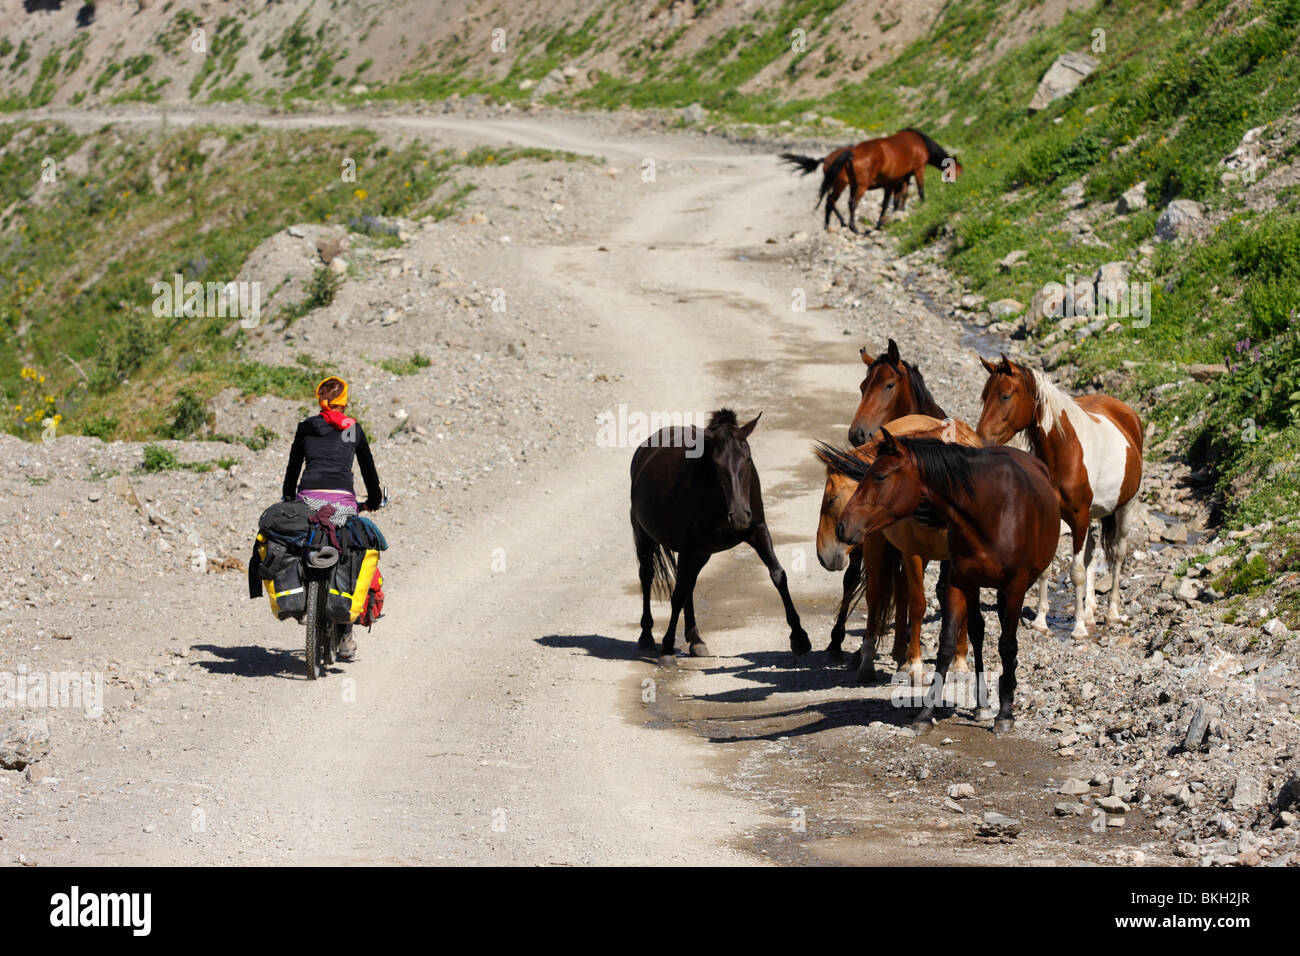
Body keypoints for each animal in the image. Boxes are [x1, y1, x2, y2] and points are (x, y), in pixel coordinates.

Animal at [630, 409, 811, 666]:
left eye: (748, 459)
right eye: (716, 464)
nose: (739, 516)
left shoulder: (757, 530)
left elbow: (778, 575)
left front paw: (799, 637)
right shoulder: (688, 545)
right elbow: (677, 594)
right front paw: (667, 649)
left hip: (701, 553)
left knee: (689, 585)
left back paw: (695, 639)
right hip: (646, 536)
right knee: (648, 576)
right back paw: (646, 635)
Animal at [780, 129, 962, 233]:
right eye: (957, 171)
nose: (955, 185)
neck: (919, 142)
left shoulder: (900, 179)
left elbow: (897, 199)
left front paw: (895, 215)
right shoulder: (916, 170)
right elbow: (916, 191)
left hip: (849, 184)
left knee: (832, 201)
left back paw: (831, 225)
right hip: (851, 185)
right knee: (846, 202)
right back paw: (852, 227)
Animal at [816, 414, 981, 684]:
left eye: (830, 500)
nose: (822, 555)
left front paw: (960, 663)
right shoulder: (912, 550)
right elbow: (917, 603)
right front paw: (914, 665)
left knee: (900, 591)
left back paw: (899, 652)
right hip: (878, 545)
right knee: (876, 597)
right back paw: (871, 661)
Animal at [825, 432, 1060, 734]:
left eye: (880, 476)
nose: (843, 526)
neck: (992, 511)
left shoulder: (1016, 587)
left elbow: (1007, 644)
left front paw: (1006, 714)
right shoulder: (959, 582)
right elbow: (947, 645)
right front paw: (925, 714)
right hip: (973, 586)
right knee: (976, 631)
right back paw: (982, 704)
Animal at [975, 355, 1143, 638]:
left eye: (1006, 396)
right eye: (984, 396)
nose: (981, 439)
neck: (1065, 451)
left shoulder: (1079, 516)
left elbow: (1075, 571)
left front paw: (1078, 628)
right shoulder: (1058, 516)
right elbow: (1047, 570)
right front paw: (1041, 621)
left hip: (1125, 507)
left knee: (1118, 554)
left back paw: (1111, 614)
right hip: (1094, 514)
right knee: (1092, 554)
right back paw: (1090, 613)